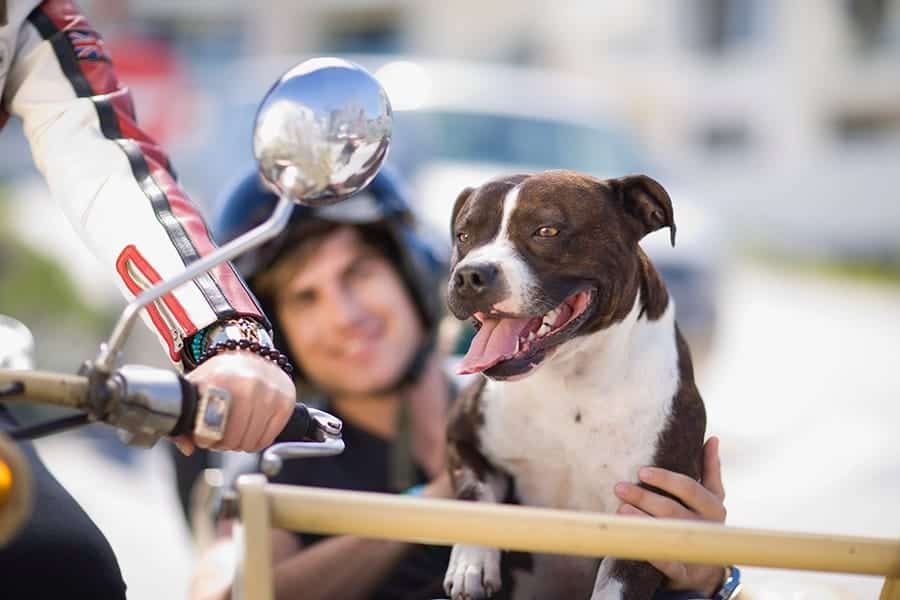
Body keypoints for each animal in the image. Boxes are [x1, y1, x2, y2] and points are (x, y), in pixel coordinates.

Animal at [440, 169, 708, 600]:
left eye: (546, 230)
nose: (469, 274)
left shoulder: (649, 511)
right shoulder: (461, 439)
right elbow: (474, 492)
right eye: (464, 235)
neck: (571, 376)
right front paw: (473, 562)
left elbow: (616, 585)